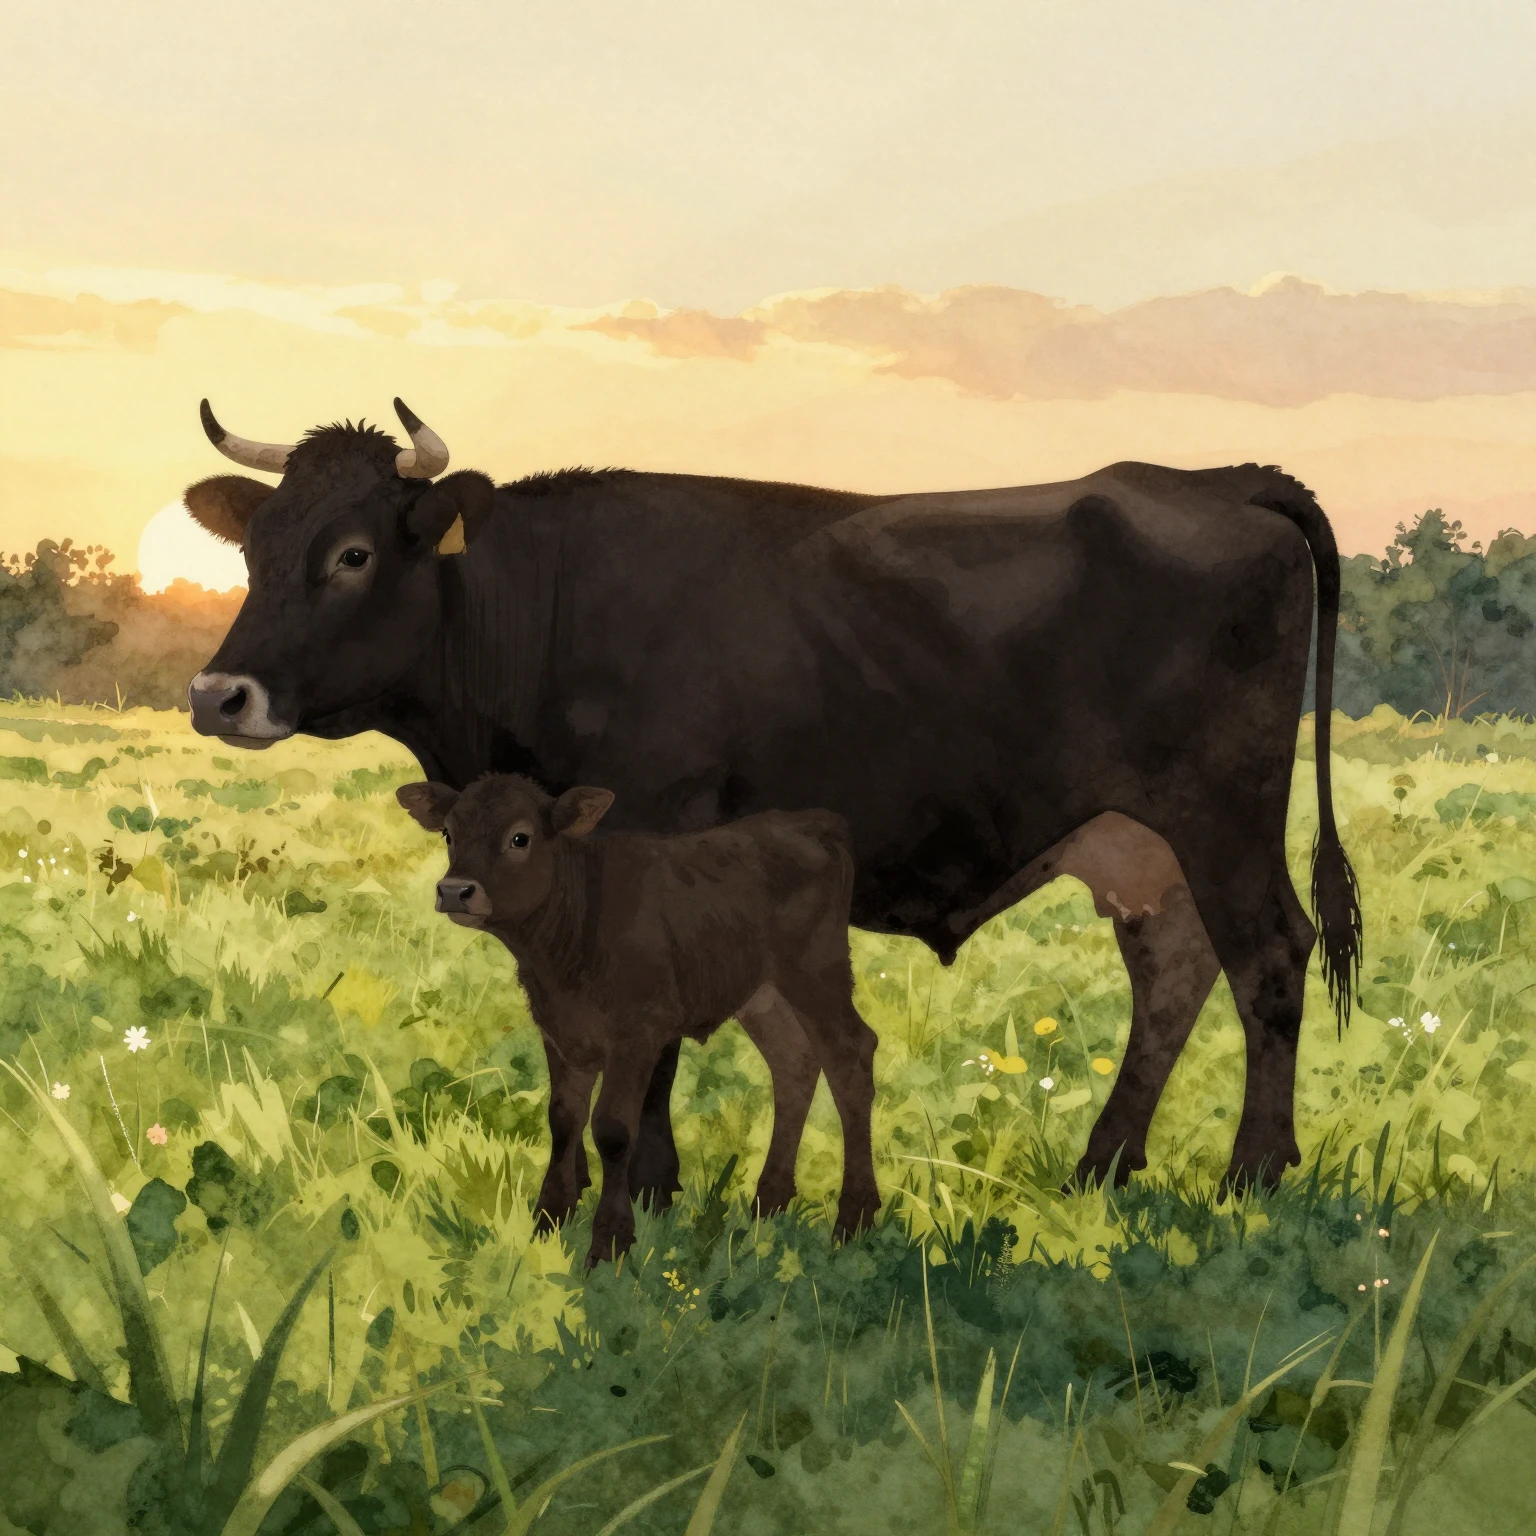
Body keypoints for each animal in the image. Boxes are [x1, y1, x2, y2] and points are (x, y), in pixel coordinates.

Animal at [184, 398, 1362, 1197]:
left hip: (1223, 812)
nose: (215, 692)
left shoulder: (655, 831)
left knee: (1269, 957)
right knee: (1173, 969)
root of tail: (1218, 477)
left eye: (351, 553)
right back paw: (1102, 1168)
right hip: (1137, 841)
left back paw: (1255, 1173)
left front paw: (648, 1189)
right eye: (253, 550)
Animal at [395, 773, 880, 1265]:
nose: (455, 890)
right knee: (793, 1063)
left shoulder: (637, 1033)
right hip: (764, 994)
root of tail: (810, 822)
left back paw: (853, 1218)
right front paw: (548, 1222)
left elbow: (612, 1129)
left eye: (520, 837)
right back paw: (768, 1205)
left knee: (851, 1058)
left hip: (817, 974)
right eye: (449, 833)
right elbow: (563, 1119)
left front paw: (610, 1242)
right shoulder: (561, 1032)